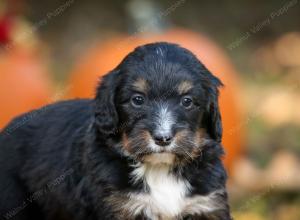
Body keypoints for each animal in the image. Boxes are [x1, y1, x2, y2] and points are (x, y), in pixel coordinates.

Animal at [0, 42, 231, 219]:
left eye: (187, 101)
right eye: (137, 100)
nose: (163, 138)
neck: (159, 169)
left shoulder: (207, 205)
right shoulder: (119, 207)